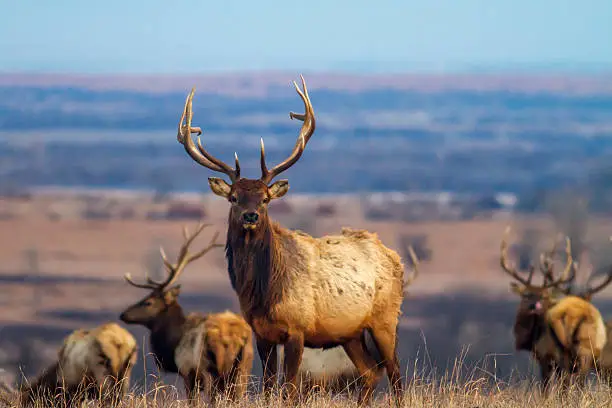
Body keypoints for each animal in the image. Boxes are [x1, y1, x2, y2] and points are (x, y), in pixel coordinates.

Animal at [119, 223, 253, 404]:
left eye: (148, 302)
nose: (123, 314)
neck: (173, 343)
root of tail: (237, 335)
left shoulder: (188, 372)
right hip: (243, 368)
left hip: (213, 368)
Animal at [175, 75, 406, 404]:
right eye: (234, 197)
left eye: (265, 199)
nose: (250, 216)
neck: (264, 293)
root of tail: (394, 258)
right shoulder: (261, 333)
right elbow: (270, 386)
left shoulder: (297, 329)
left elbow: (291, 389)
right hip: (350, 333)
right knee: (371, 372)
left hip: (386, 319)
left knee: (395, 373)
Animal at [502, 228, 608, 390]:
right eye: (526, 295)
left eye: (544, 296)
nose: (535, 306)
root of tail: (575, 314)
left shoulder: (545, 355)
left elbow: (546, 387)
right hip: (586, 351)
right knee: (579, 382)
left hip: (568, 352)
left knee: (570, 382)